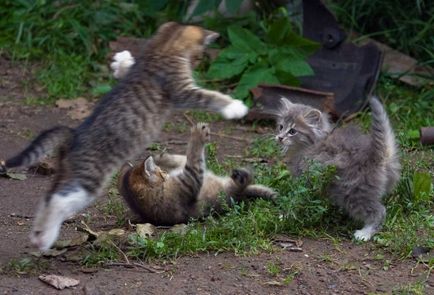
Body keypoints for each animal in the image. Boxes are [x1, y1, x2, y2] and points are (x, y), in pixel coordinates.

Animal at [0, 22, 249, 252]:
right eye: (198, 56)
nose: (199, 63)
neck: (162, 48)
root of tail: (73, 135)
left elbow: (128, 68)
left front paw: (122, 62)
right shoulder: (180, 89)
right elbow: (207, 96)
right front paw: (235, 107)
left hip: (67, 173)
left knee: (48, 196)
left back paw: (39, 234)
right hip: (88, 178)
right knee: (58, 201)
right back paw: (44, 238)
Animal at [117, 123, 276, 225]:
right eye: (162, 173)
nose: (165, 172)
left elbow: (182, 158)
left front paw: (160, 156)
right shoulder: (190, 178)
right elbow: (193, 155)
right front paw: (198, 134)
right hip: (231, 191)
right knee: (243, 183)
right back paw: (241, 176)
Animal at [274, 98, 400, 242]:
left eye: (292, 131)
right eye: (281, 127)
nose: (280, 137)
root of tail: (376, 156)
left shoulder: (305, 182)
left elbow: (296, 201)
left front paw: (287, 216)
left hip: (354, 193)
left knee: (379, 211)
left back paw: (365, 233)